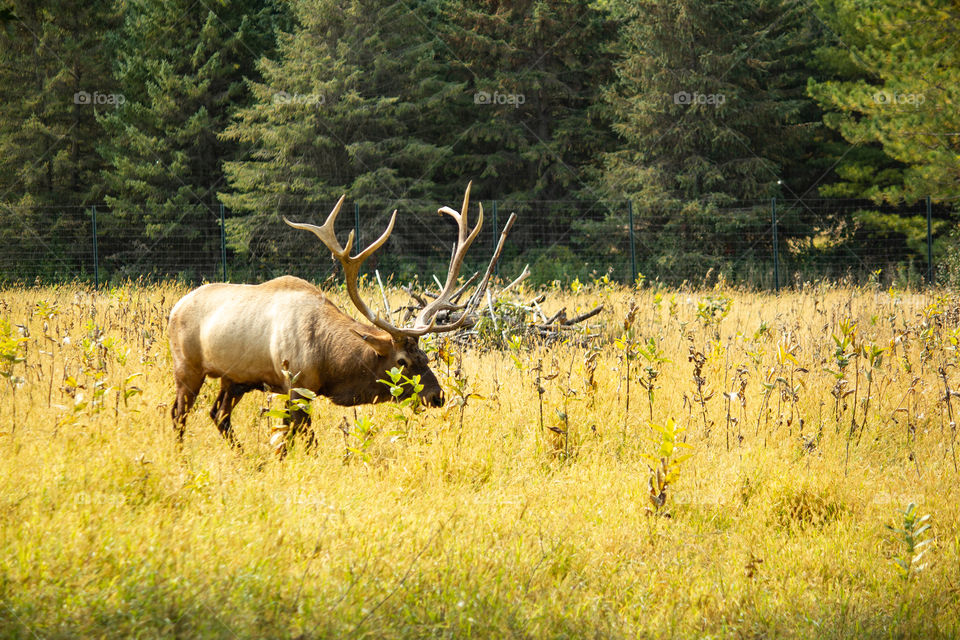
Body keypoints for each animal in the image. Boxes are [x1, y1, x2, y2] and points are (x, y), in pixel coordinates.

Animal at [168, 183, 513, 449]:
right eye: (401, 361)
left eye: (426, 357)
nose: (437, 396)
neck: (329, 362)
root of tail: (175, 308)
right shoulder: (296, 385)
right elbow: (302, 440)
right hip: (188, 367)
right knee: (178, 414)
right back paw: (182, 457)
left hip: (234, 379)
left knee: (218, 415)